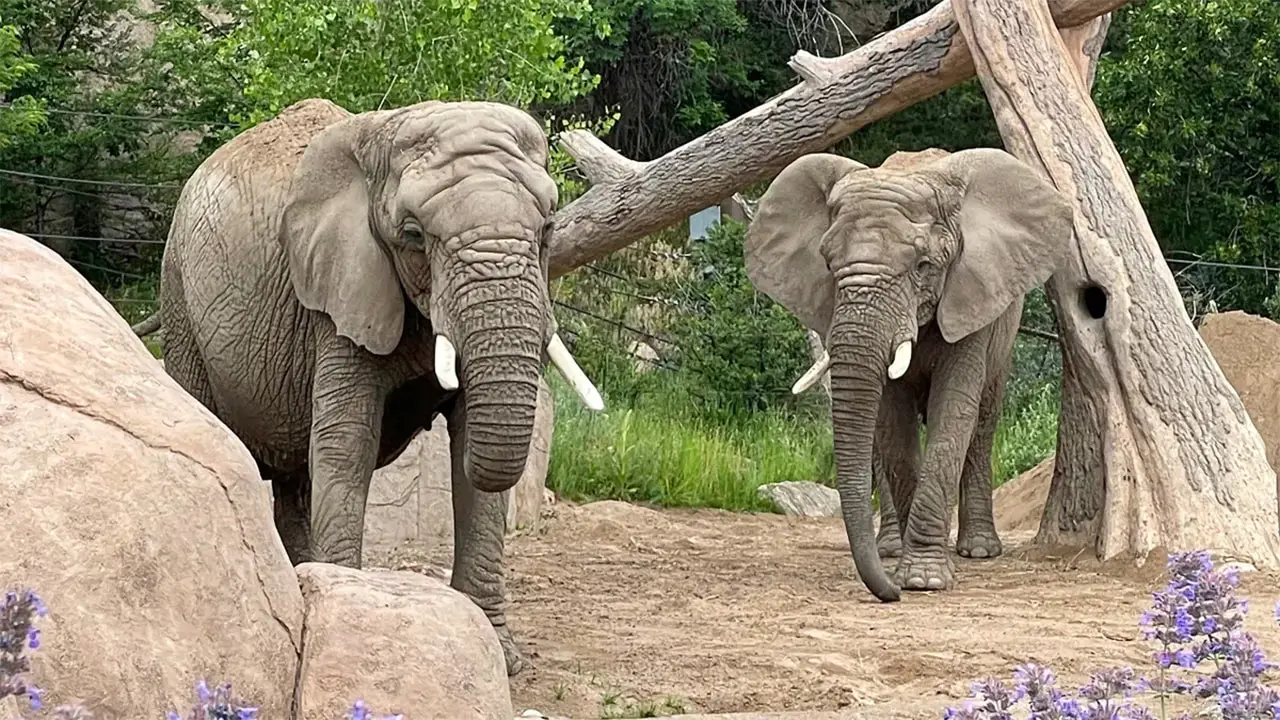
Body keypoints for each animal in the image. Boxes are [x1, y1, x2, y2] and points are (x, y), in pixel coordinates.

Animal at [154, 98, 604, 671]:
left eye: (547, 230)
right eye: (413, 235)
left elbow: (471, 449)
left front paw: (502, 656)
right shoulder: (338, 294)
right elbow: (348, 443)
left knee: (296, 481)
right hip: (179, 297)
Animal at [747, 142, 1075, 597]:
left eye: (924, 266)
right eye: (828, 264)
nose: (890, 593)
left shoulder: (971, 297)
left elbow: (953, 413)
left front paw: (922, 580)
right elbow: (892, 425)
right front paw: (907, 569)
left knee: (983, 423)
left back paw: (978, 550)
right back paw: (888, 548)